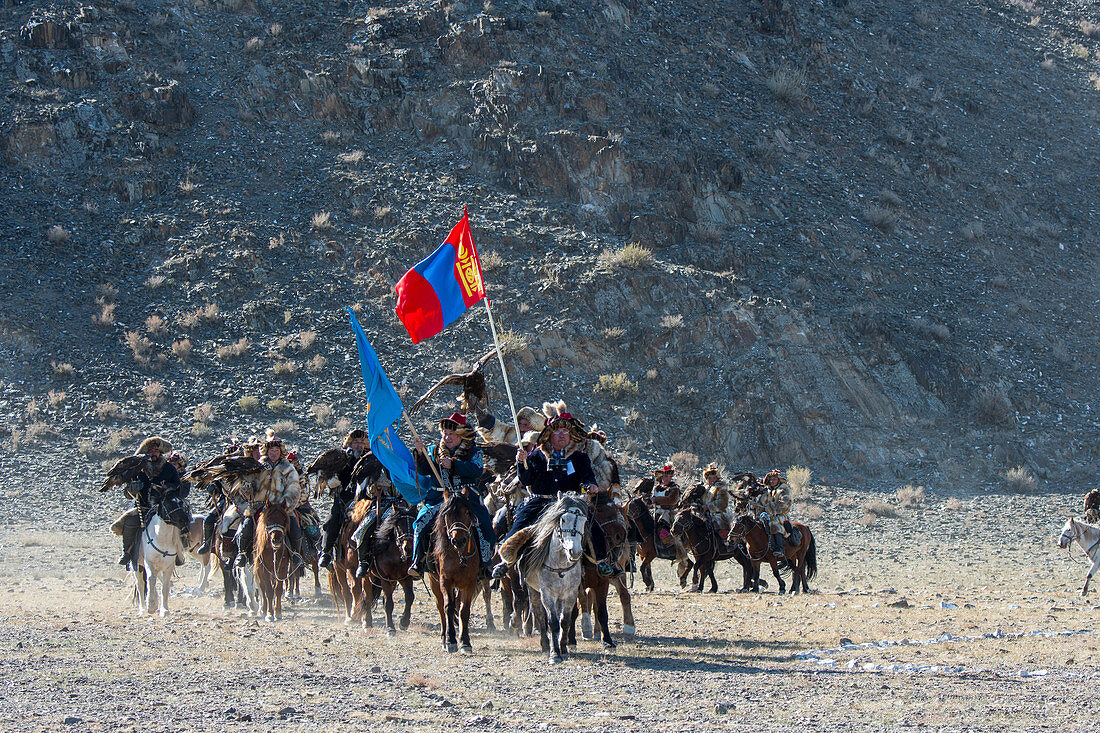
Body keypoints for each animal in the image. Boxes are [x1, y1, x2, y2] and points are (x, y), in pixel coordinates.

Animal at [429, 490, 481, 651]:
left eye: (467, 512)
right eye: (447, 514)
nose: (458, 540)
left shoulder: (470, 583)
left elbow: (464, 610)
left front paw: (465, 641)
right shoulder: (445, 581)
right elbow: (448, 608)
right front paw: (450, 640)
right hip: (434, 581)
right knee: (441, 606)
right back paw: (443, 637)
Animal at [517, 493, 589, 660]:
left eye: (584, 521)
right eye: (563, 519)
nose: (575, 552)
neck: (560, 565)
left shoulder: (570, 593)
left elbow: (565, 621)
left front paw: (563, 648)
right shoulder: (547, 594)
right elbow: (553, 622)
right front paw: (554, 653)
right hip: (533, 589)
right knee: (539, 614)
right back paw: (545, 644)